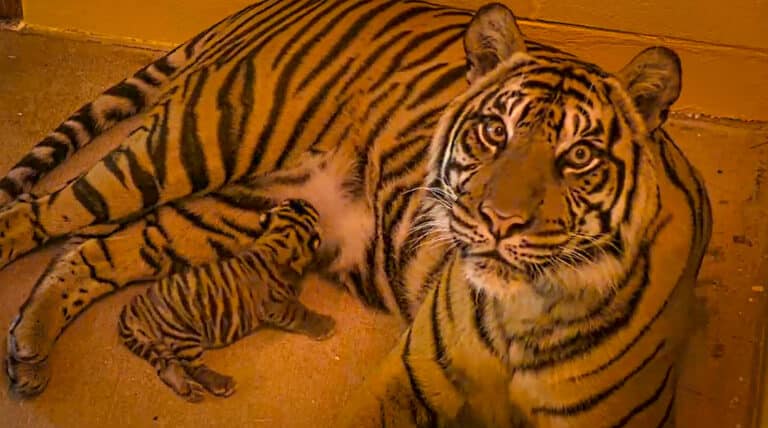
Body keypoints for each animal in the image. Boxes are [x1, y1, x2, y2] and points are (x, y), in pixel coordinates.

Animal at [117, 198, 334, 402]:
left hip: (158, 345)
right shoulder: (278, 304)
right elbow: (301, 313)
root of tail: (130, 309)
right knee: (192, 366)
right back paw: (221, 383)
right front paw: (326, 325)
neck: (280, 237)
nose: (305, 200)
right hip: (181, 333)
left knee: (167, 368)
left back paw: (187, 390)